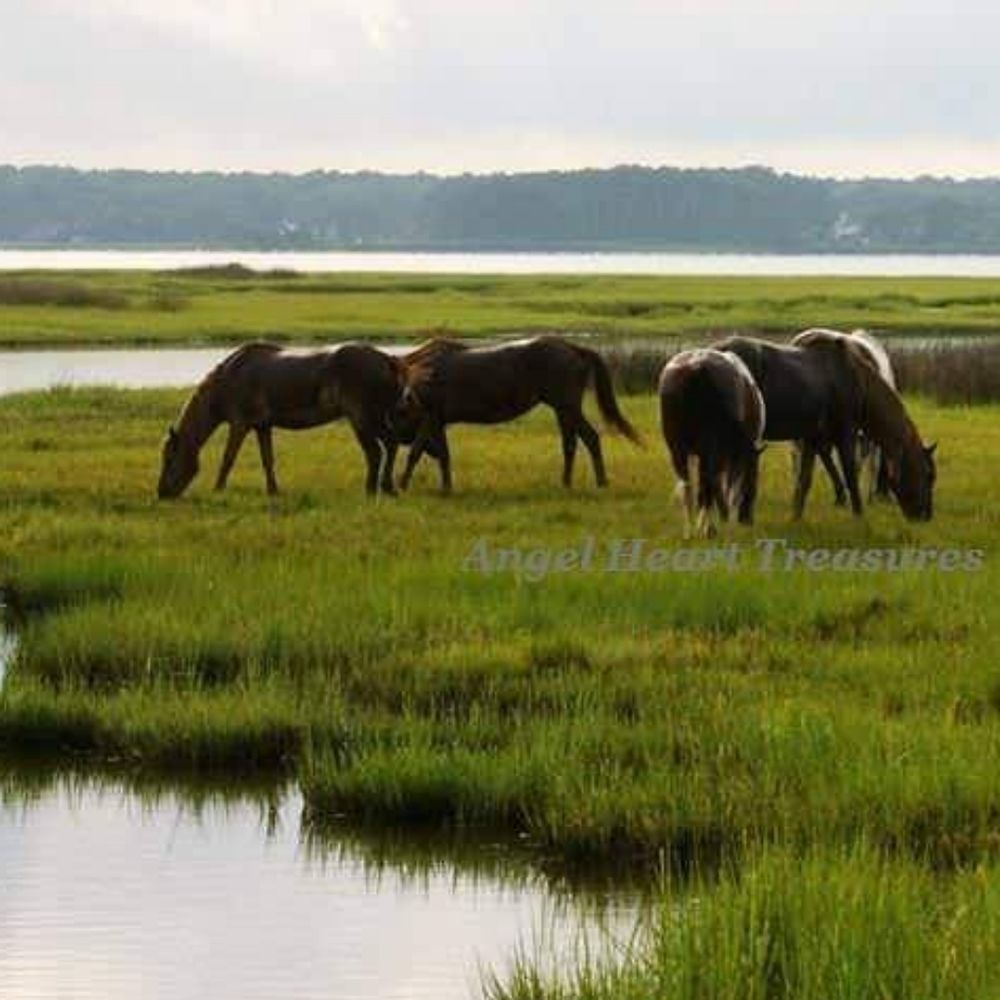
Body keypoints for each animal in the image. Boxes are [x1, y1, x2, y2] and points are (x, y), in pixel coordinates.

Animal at [157, 342, 406, 499]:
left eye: (169, 459)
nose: (161, 493)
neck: (227, 380)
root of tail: (387, 360)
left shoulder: (239, 424)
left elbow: (228, 458)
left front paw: (218, 489)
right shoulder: (262, 426)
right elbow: (268, 460)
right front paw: (273, 490)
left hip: (362, 418)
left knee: (375, 452)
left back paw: (371, 490)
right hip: (375, 418)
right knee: (391, 444)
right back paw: (388, 488)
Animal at [394, 335, 641, 493]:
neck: (422, 372)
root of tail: (574, 348)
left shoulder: (431, 417)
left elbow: (419, 452)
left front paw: (406, 485)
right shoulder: (437, 420)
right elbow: (439, 454)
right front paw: (441, 486)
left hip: (567, 407)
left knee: (590, 438)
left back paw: (601, 482)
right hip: (563, 410)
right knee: (570, 444)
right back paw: (566, 483)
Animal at [658, 348, 766, 538]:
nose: (748, 520)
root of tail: (696, 367)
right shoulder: (729, 455)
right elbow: (725, 486)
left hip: (677, 450)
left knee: (688, 486)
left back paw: (690, 531)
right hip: (709, 450)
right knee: (707, 482)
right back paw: (708, 528)